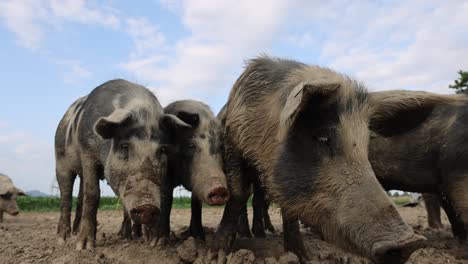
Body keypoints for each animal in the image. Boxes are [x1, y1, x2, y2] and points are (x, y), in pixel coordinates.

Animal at [54, 79, 186, 250]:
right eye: (124, 146)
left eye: (162, 150)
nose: (147, 206)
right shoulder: (87, 152)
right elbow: (92, 194)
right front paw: (84, 247)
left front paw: (149, 241)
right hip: (60, 161)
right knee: (66, 196)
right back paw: (63, 239)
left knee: (80, 195)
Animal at [209, 55, 428, 264]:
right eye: (323, 137)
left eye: (366, 144)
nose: (410, 243)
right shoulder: (233, 144)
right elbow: (238, 194)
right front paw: (216, 256)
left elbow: (289, 212)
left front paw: (303, 257)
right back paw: (251, 236)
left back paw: (261, 235)